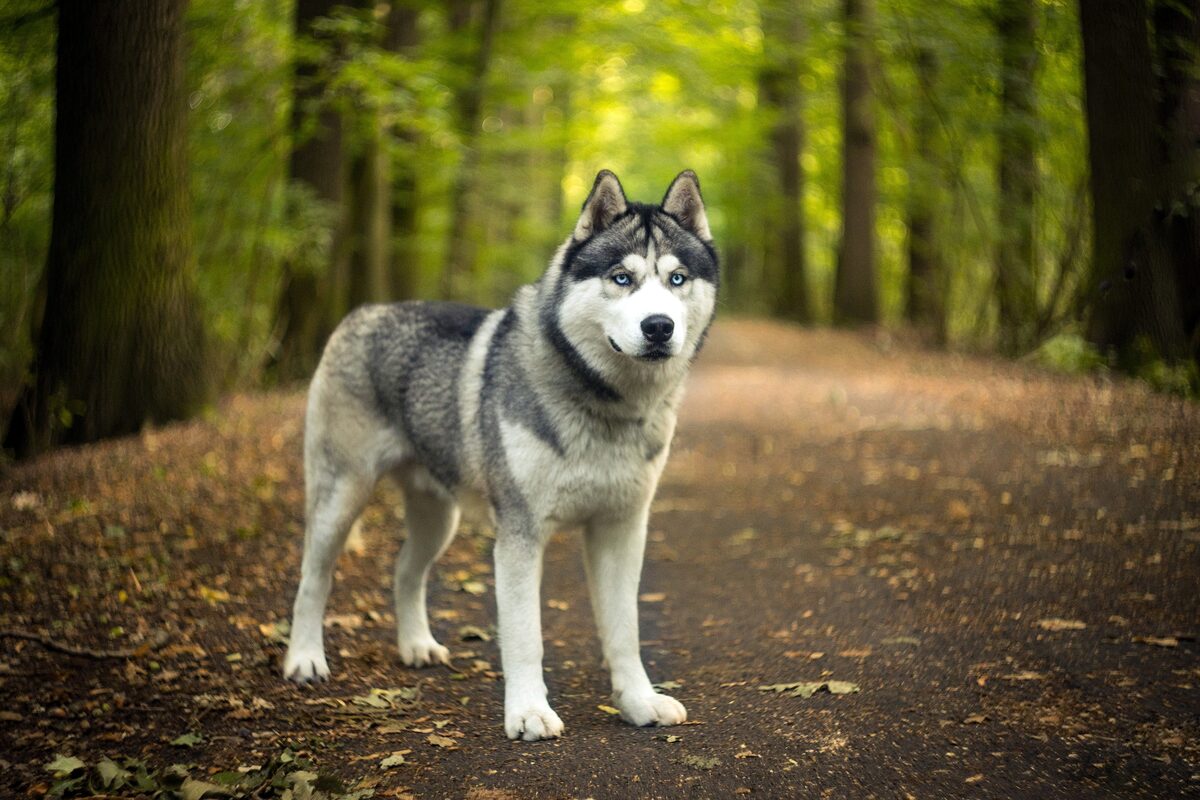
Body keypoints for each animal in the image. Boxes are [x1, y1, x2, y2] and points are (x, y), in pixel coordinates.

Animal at [283, 170, 710, 743]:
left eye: (677, 279)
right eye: (622, 278)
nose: (659, 326)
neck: (605, 405)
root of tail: (365, 311)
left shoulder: (622, 529)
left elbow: (625, 631)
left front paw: (639, 703)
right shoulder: (520, 536)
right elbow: (526, 636)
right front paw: (528, 713)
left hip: (438, 517)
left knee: (405, 570)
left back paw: (416, 646)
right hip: (340, 497)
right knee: (314, 578)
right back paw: (304, 660)